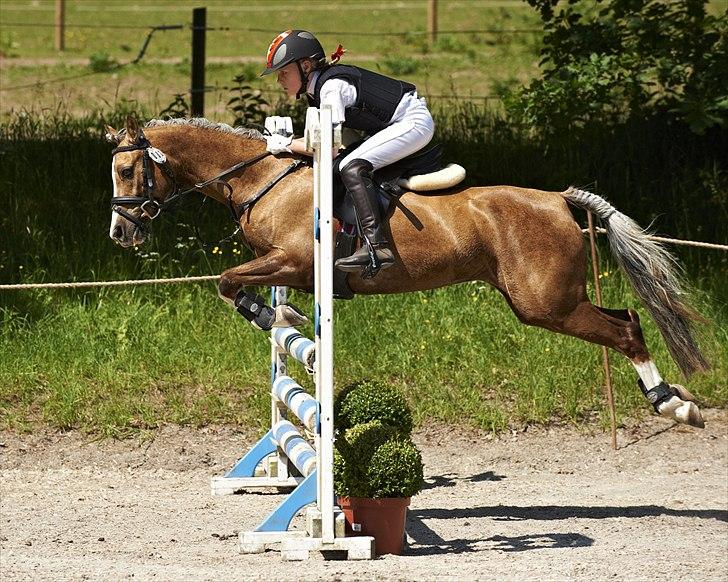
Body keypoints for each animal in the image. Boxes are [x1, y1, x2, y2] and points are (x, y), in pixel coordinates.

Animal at [105, 116, 710, 429]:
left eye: (129, 170)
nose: (120, 233)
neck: (264, 178)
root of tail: (559, 199)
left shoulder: (295, 260)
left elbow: (229, 281)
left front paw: (274, 317)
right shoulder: (287, 266)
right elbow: (238, 285)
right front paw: (284, 314)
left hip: (546, 303)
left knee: (626, 329)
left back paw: (676, 405)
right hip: (549, 300)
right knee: (627, 315)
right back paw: (670, 398)